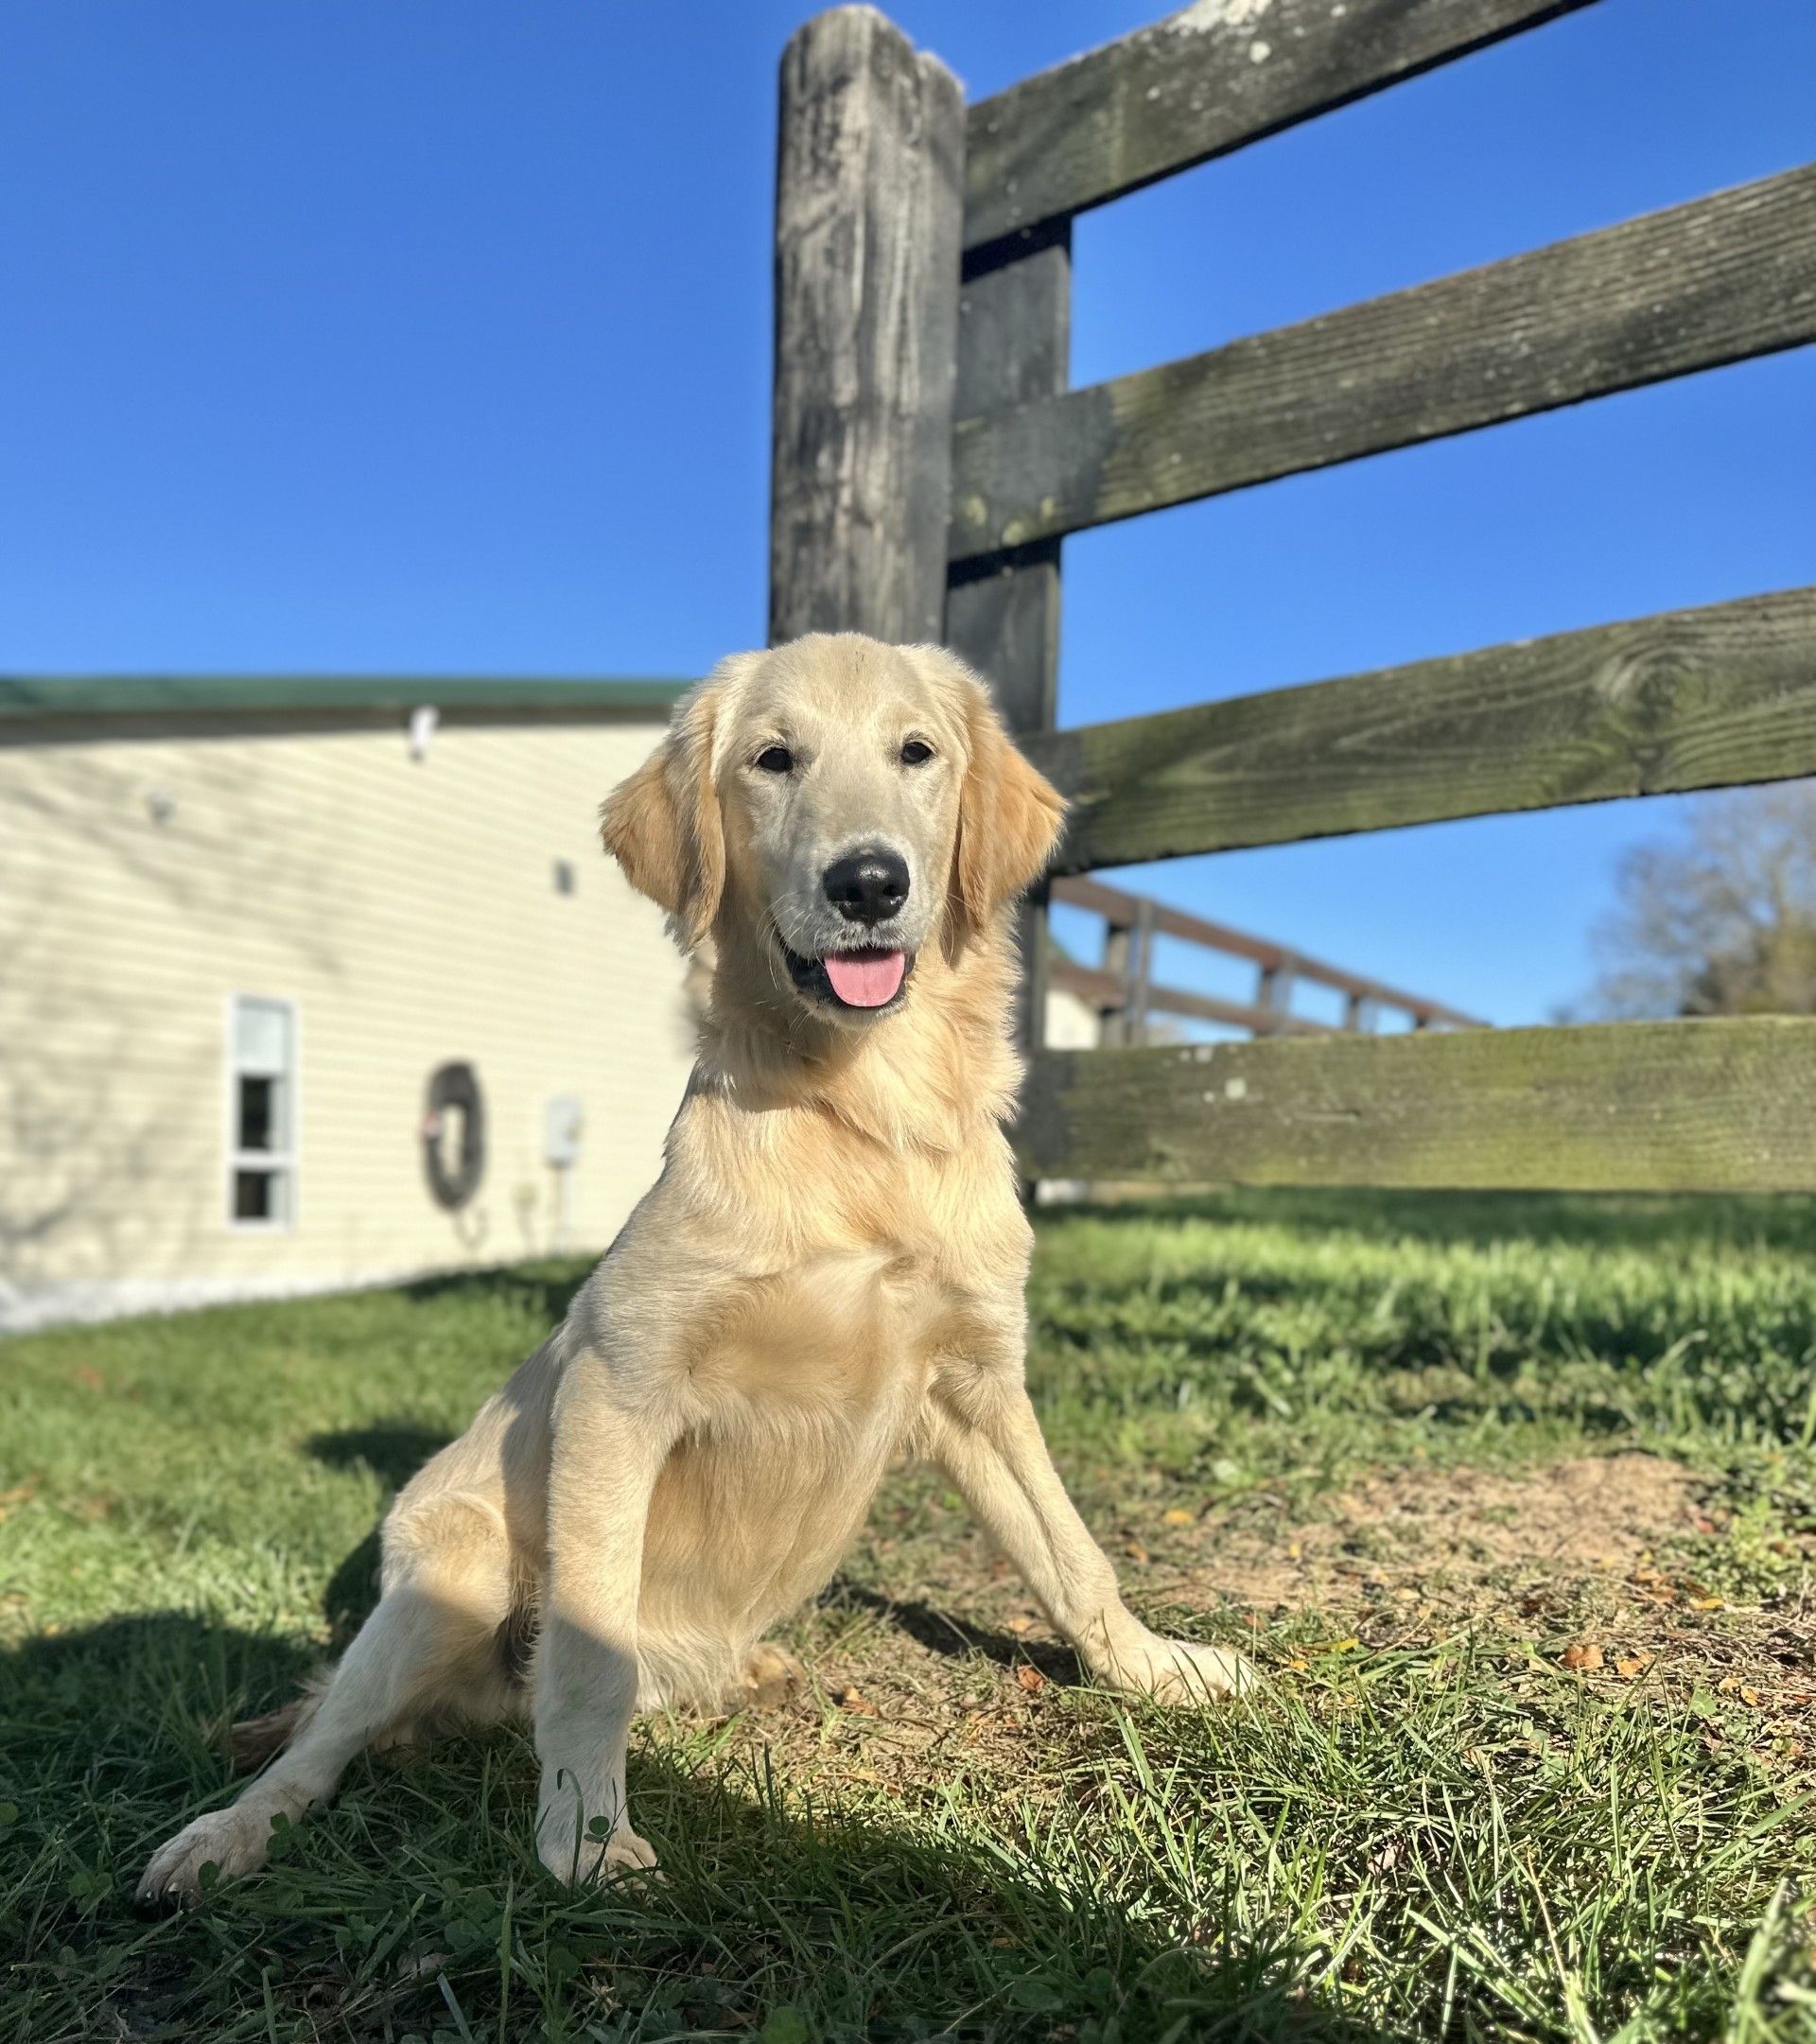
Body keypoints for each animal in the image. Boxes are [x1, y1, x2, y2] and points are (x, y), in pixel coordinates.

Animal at [137, 633, 1251, 1896]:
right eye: (773, 759)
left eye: (917, 752)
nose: (868, 883)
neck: (861, 1122)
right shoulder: (619, 1390)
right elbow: (588, 1657)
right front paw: (583, 1830)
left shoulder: (975, 1380)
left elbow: (1072, 1553)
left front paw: (1159, 1667)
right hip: (448, 1572)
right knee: (322, 1743)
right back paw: (224, 1835)